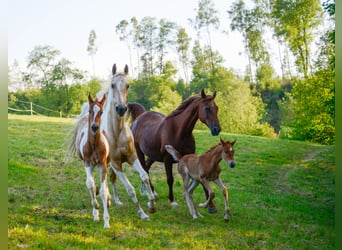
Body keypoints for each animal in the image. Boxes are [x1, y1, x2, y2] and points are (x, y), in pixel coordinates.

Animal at [69, 93, 111, 228]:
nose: (94, 127)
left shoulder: (103, 164)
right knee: (92, 184)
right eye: (90, 111)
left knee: (105, 185)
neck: (93, 144)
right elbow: (90, 185)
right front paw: (96, 207)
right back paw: (96, 214)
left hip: (104, 164)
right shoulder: (87, 163)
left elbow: (103, 191)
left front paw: (106, 221)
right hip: (92, 165)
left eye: (101, 112)